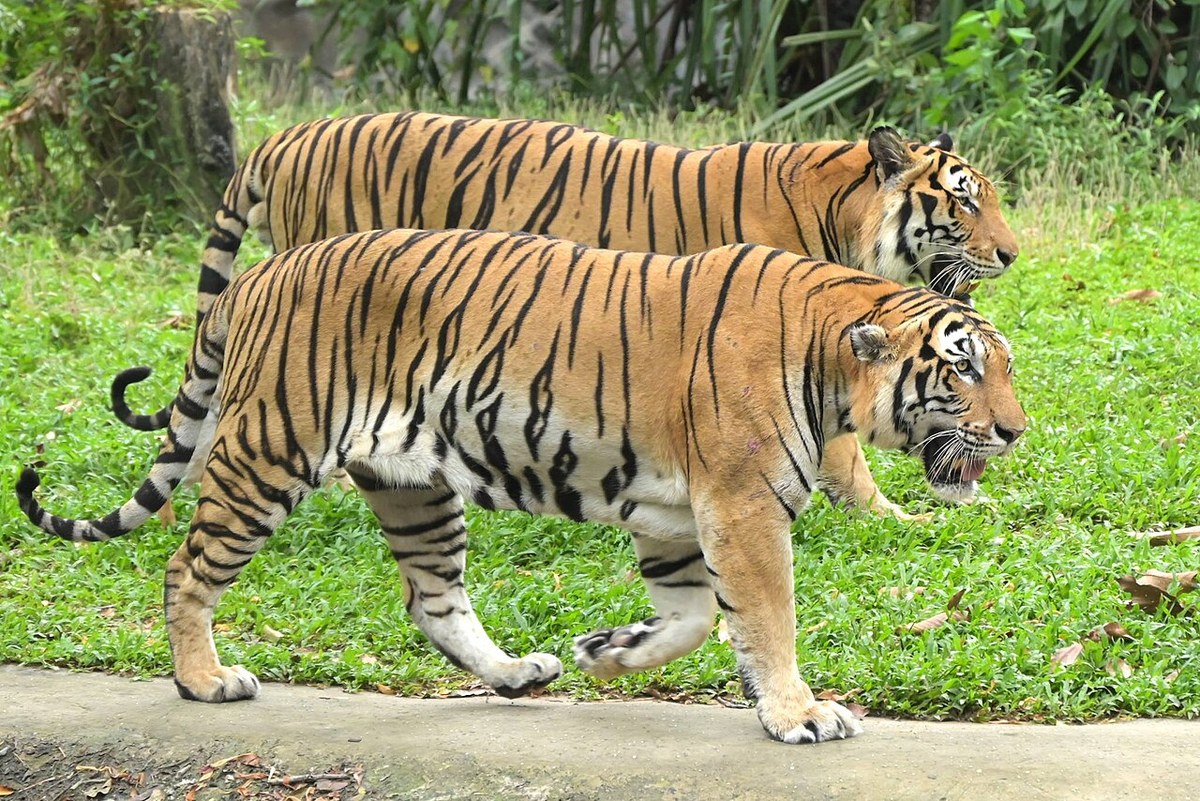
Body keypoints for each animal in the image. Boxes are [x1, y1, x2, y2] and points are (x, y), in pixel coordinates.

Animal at [19, 229, 1026, 744]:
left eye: (1004, 369)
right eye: (964, 369)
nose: (1016, 430)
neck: (833, 355)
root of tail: (258, 275)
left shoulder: (675, 515)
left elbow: (694, 616)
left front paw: (606, 652)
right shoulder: (741, 507)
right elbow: (766, 618)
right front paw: (799, 713)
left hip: (414, 483)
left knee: (432, 601)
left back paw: (514, 672)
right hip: (269, 451)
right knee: (187, 566)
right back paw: (203, 679)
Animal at [112, 111, 1020, 518]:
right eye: (966, 201)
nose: (1013, 255)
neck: (842, 210)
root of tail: (287, 134)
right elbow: (843, 452)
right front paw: (890, 513)